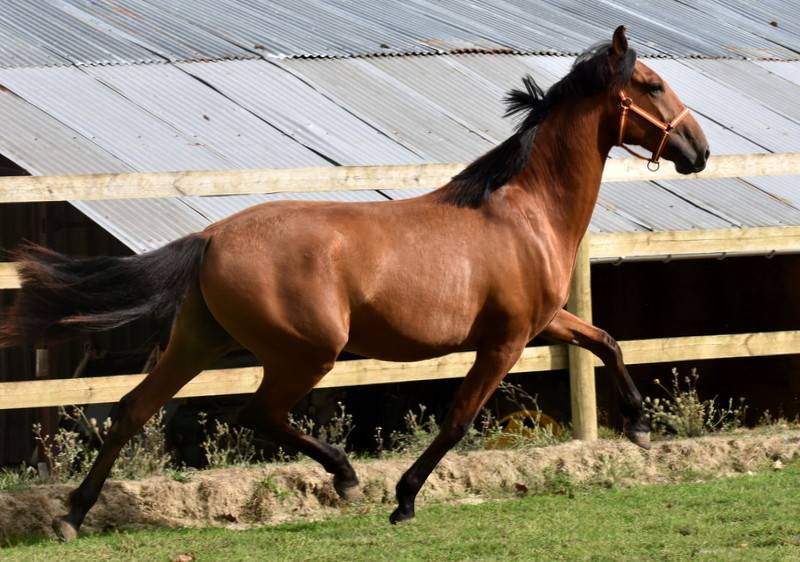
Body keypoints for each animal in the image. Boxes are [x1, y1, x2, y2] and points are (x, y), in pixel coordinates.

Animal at [0, 26, 708, 541]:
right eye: (651, 83)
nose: (698, 149)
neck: (524, 210)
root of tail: (212, 237)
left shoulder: (545, 321)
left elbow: (606, 339)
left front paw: (640, 427)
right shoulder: (505, 340)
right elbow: (457, 418)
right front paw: (404, 500)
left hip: (199, 341)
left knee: (132, 409)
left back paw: (71, 515)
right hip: (307, 351)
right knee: (258, 412)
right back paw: (344, 476)